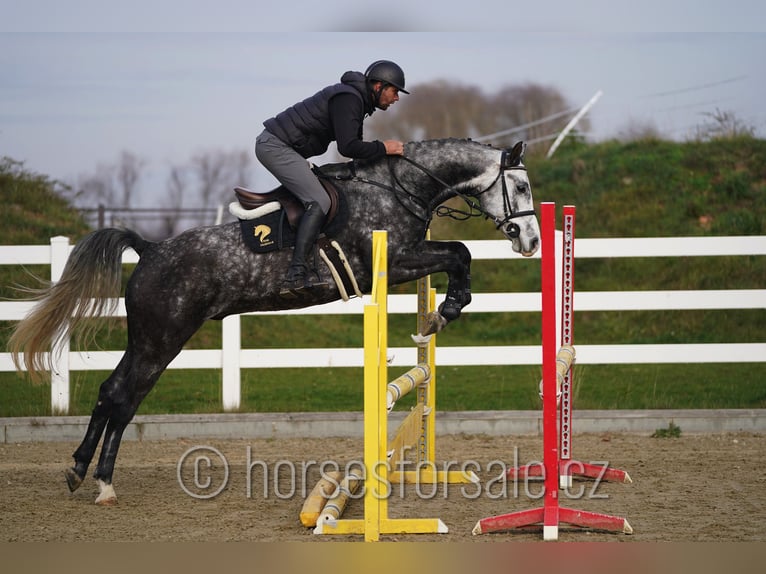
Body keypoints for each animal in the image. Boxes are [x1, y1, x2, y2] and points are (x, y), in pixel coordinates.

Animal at [9, 138, 540, 505]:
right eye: (520, 186)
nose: (531, 241)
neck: (398, 187)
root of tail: (151, 249)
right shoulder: (396, 260)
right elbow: (460, 252)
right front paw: (445, 312)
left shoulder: (408, 258)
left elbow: (458, 253)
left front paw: (439, 315)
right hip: (161, 339)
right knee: (123, 397)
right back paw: (101, 483)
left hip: (149, 339)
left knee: (112, 393)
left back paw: (82, 472)